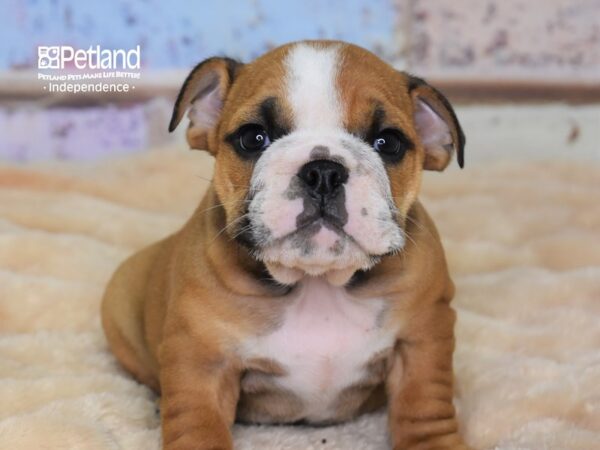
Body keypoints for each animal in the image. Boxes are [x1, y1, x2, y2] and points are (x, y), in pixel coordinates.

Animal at [101, 39, 468, 450]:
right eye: (253, 137)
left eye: (388, 142)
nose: (323, 171)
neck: (318, 283)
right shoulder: (201, 358)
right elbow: (198, 426)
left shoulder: (422, 338)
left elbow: (424, 408)